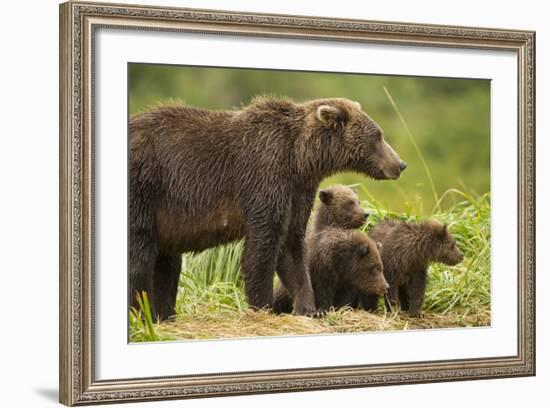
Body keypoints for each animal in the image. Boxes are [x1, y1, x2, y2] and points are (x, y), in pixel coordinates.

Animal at [128, 97, 406, 320]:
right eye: (378, 136)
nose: (400, 164)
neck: (299, 158)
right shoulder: (264, 177)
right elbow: (263, 246)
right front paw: (263, 306)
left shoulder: (297, 192)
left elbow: (293, 249)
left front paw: (309, 308)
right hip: (146, 188)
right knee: (140, 256)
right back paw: (140, 314)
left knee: (166, 264)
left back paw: (163, 315)